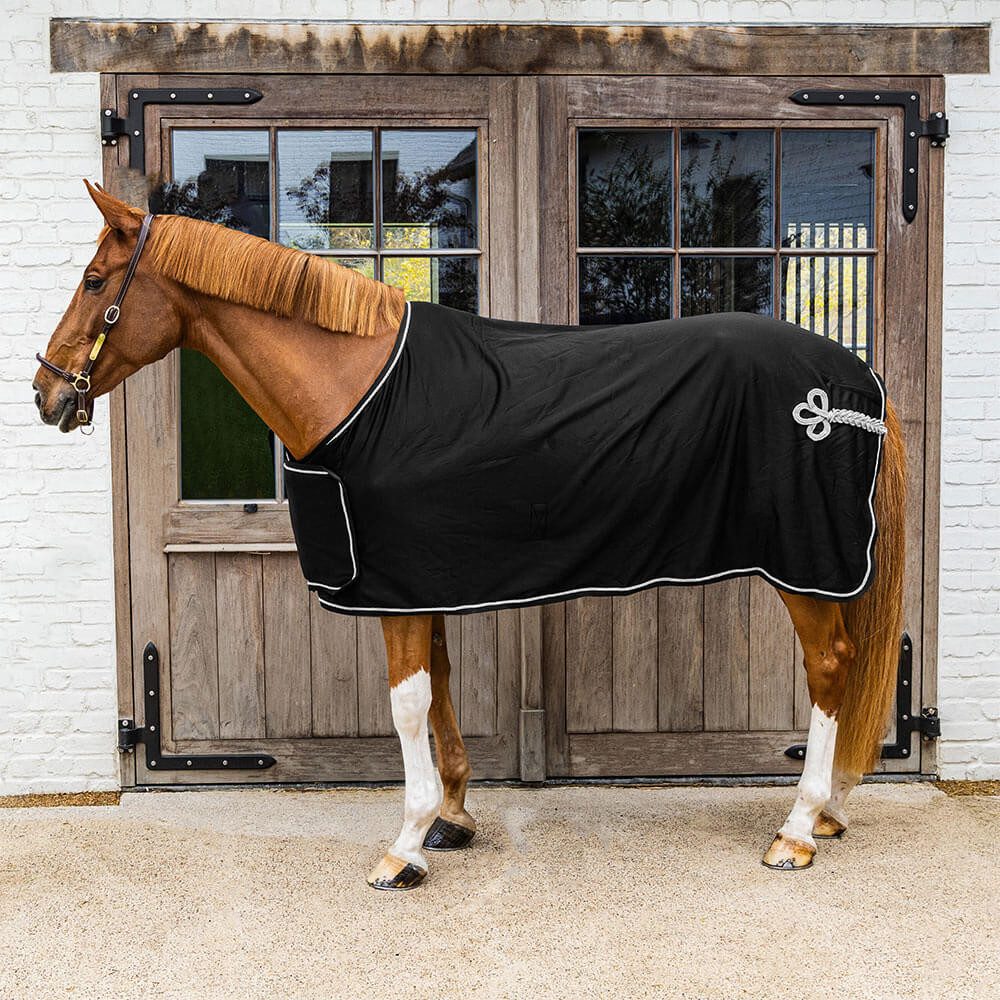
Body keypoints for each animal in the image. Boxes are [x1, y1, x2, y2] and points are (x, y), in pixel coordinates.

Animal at [33, 182, 905, 889]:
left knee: (831, 666)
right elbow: (444, 687)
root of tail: (857, 380)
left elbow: (407, 704)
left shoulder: (393, 587)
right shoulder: (420, 578)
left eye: (94, 281)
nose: (47, 392)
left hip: (804, 564)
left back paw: (798, 827)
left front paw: (404, 846)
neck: (361, 390)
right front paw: (452, 818)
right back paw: (828, 813)